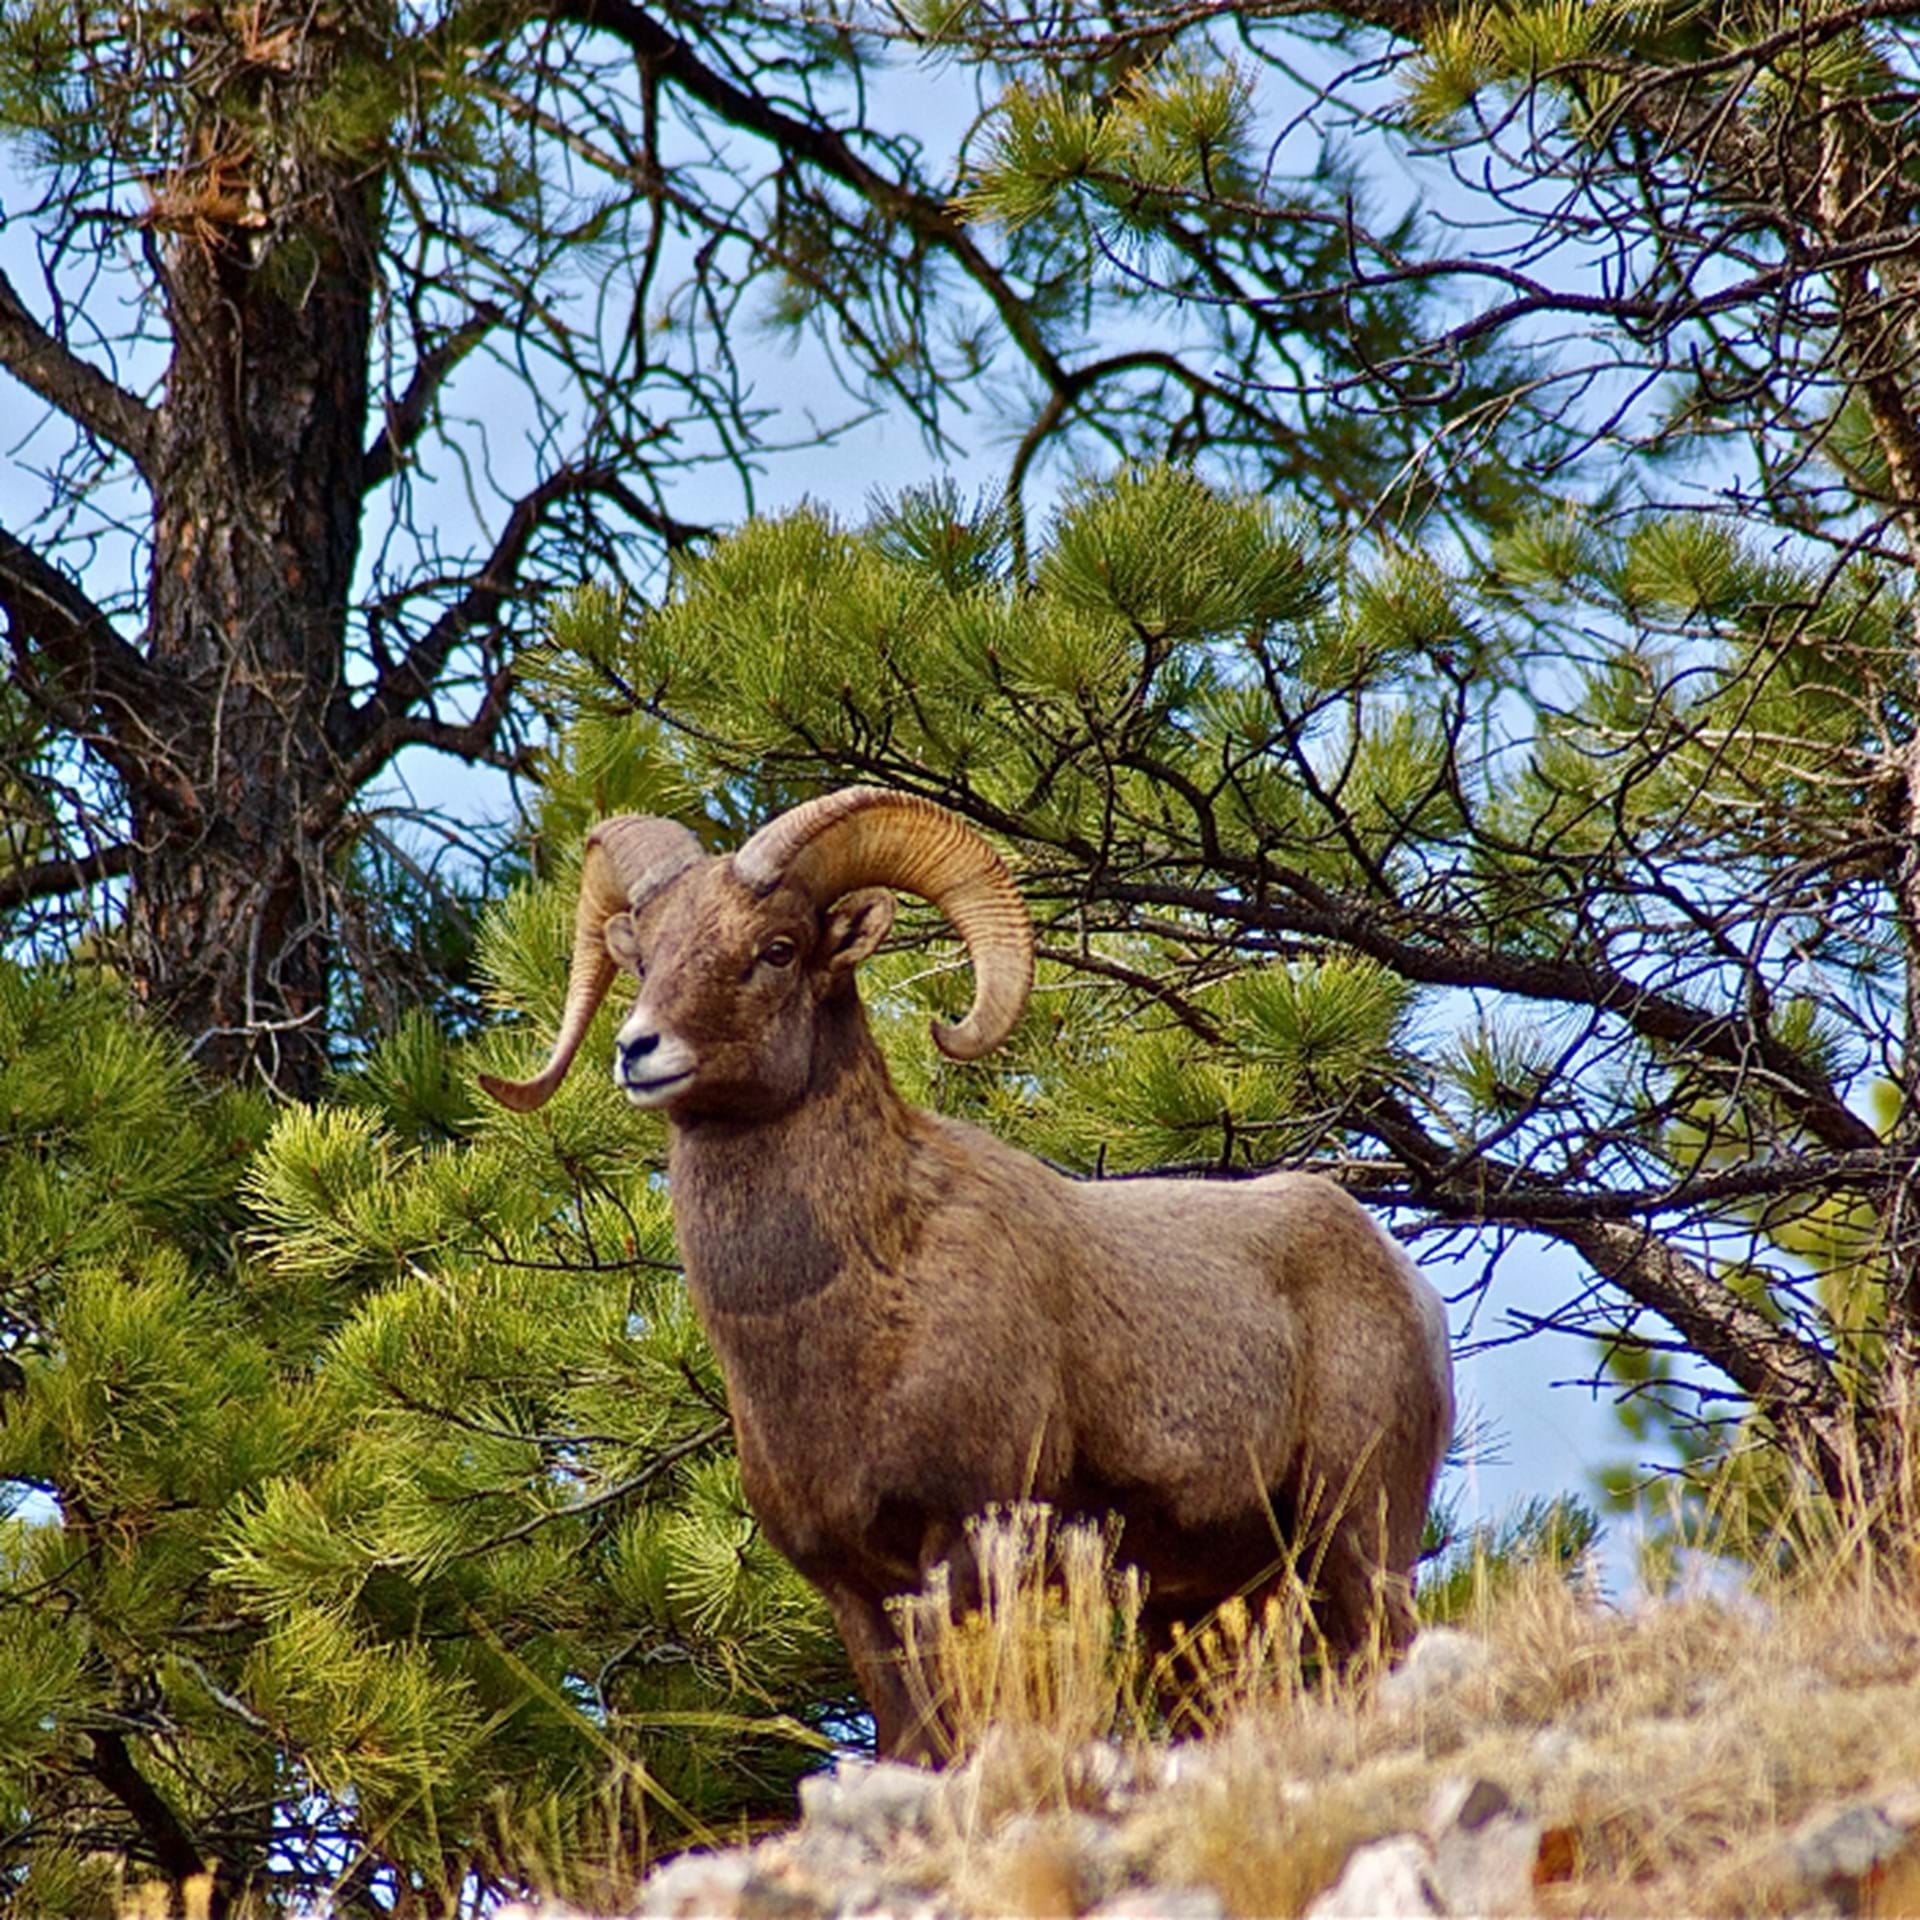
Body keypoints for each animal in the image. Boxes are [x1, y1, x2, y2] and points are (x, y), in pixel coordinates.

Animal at [481, 786, 1454, 1758]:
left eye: (777, 949)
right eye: (643, 955)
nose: (639, 1049)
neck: (849, 1321)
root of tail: (1406, 1287)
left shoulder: (969, 1546)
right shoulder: (856, 1591)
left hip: (1356, 1542)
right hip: (1204, 1612)